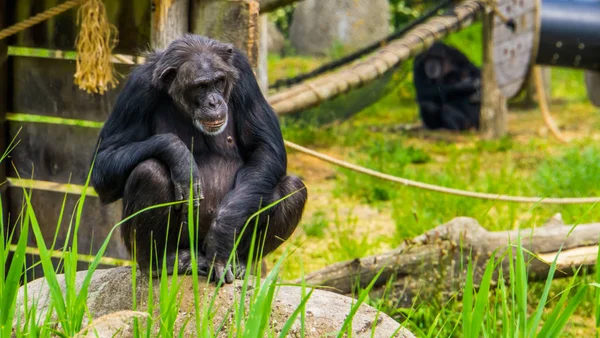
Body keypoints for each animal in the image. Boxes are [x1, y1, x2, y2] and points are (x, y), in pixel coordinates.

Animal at [91, 34, 308, 282]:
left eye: (219, 81)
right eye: (201, 86)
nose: (214, 102)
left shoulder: (244, 73)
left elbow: (265, 148)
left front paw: (222, 235)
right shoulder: (136, 88)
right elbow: (104, 161)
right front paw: (180, 158)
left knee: (292, 189)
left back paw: (239, 262)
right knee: (149, 172)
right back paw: (162, 263)